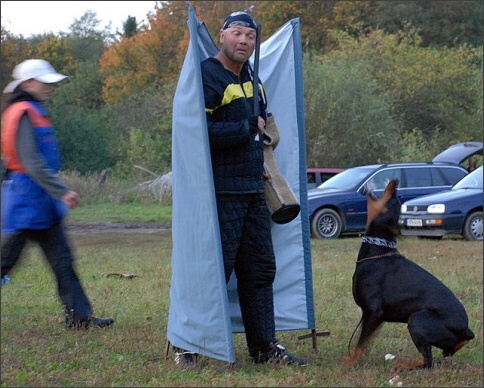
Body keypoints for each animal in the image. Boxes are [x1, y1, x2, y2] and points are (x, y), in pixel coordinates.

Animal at [344, 179, 476, 370]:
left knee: (427, 361)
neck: (378, 251)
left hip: (417, 318)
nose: (395, 182)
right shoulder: (375, 318)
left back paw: (403, 364)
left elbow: (360, 343)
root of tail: (466, 331)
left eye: (394, 200)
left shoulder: (373, 312)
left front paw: (351, 363)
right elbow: (365, 342)